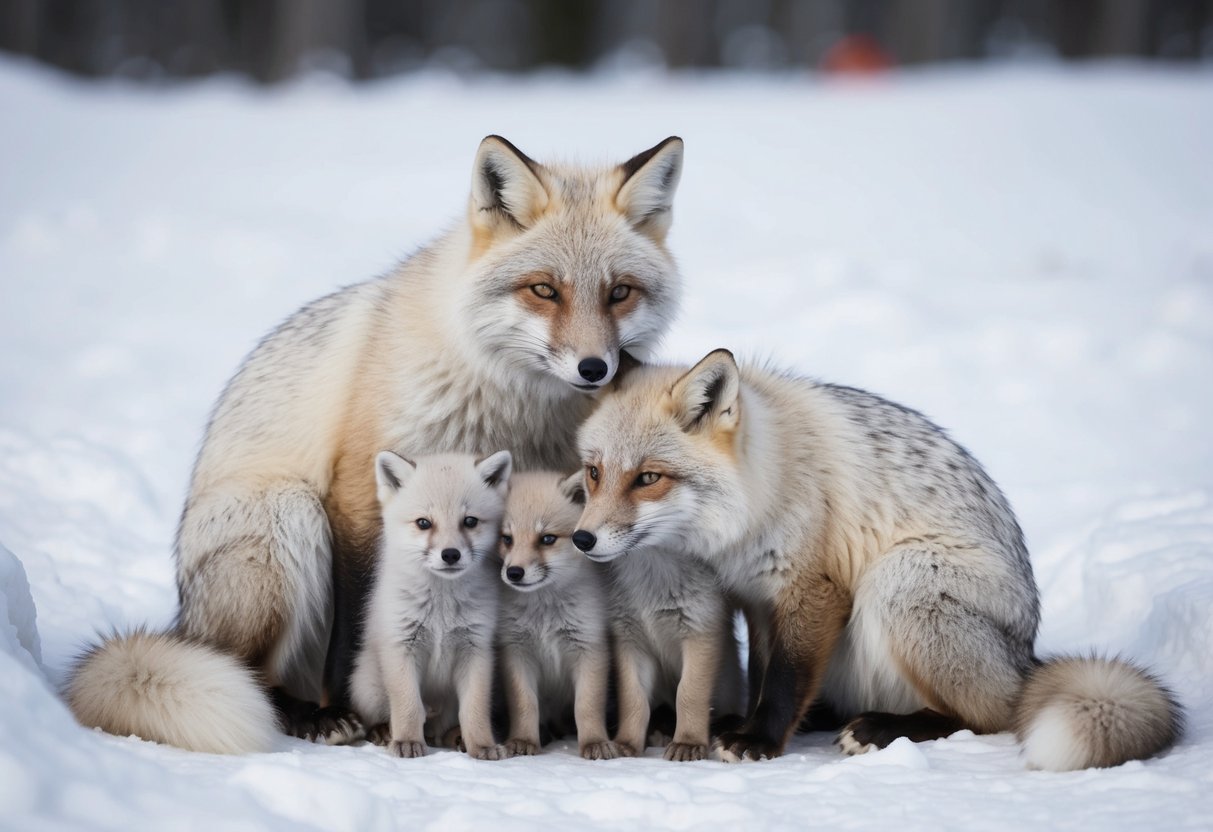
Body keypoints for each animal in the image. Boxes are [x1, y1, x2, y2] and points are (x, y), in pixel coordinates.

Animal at [350, 450, 511, 759]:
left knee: (444, 728)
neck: (441, 611)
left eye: (470, 521)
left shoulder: (476, 650)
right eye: (424, 523)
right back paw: (385, 732)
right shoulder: (402, 646)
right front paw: (407, 741)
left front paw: (481, 745)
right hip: (368, 687)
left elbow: (475, 710)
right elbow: (409, 706)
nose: (450, 554)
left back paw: (456, 737)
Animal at [496, 471, 618, 760]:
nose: (514, 573)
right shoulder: (516, 652)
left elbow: (586, 706)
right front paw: (523, 740)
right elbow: (525, 705)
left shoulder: (590, 649)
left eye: (547, 539)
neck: (545, 616)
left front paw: (595, 742)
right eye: (507, 538)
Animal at [571, 348, 1183, 771]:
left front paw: (759, 740)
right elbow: (764, 673)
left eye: (648, 478)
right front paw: (747, 725)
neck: (767, 484)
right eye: (595, 472)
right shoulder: (759, 598)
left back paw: (882, 730)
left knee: (990, 715)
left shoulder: (814, 589)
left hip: (903, 581)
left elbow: (786, 678)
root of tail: (1027, 658)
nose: (582, 540)